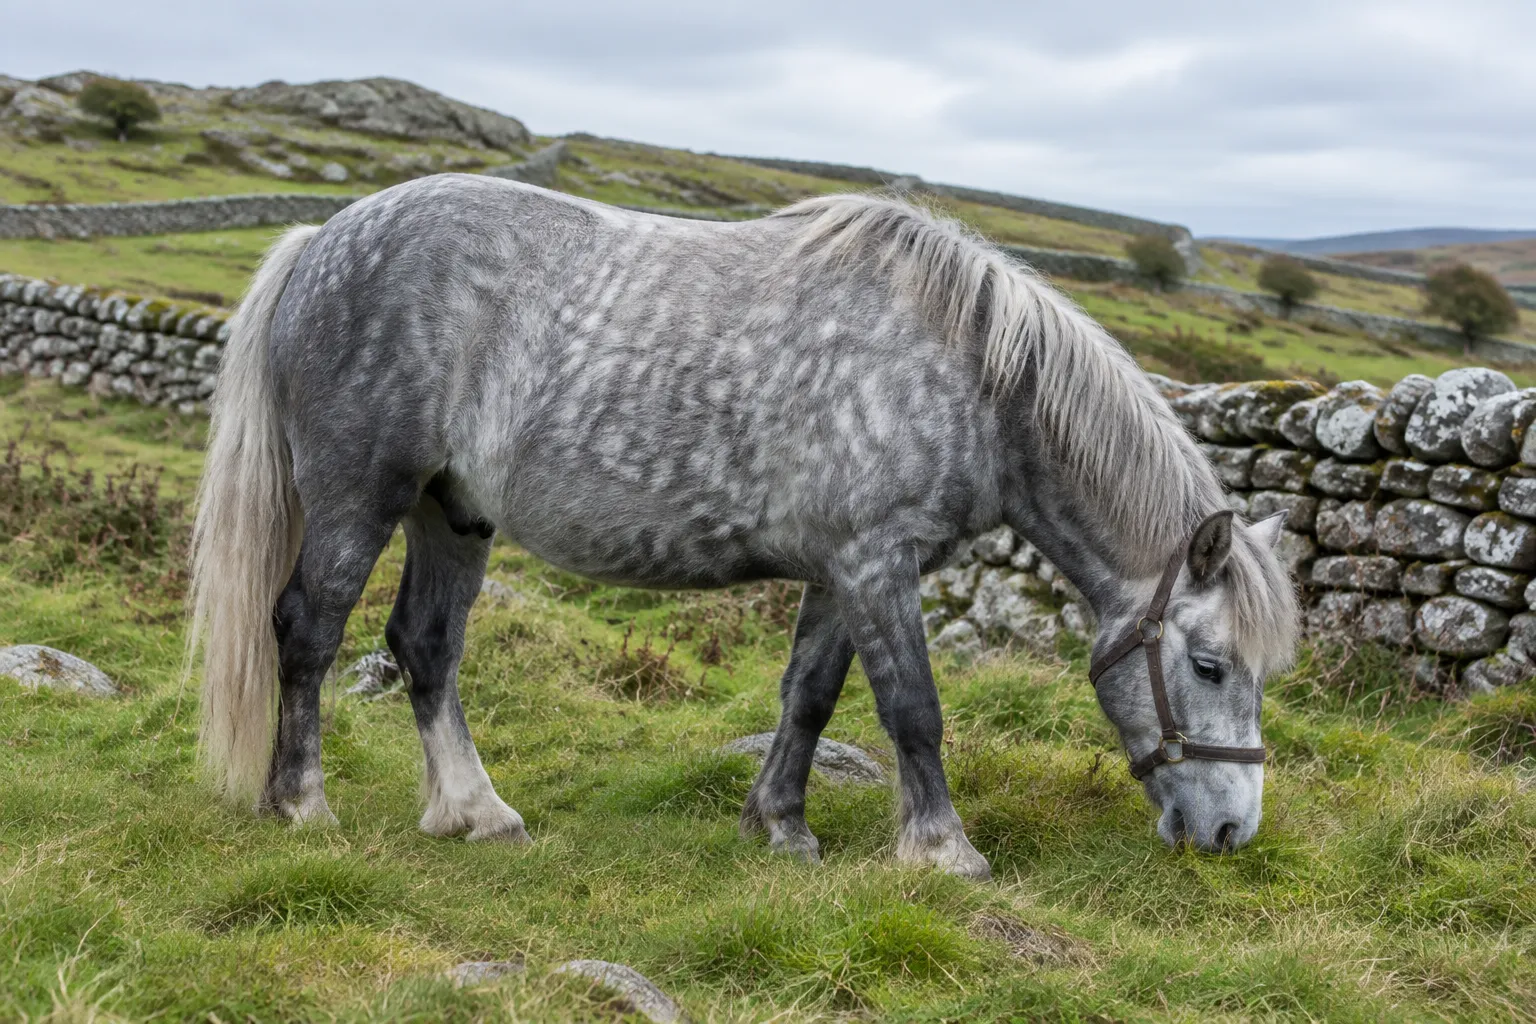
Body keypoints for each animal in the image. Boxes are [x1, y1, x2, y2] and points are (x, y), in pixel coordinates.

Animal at [187, 175, 1299, 880]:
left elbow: (808, 696)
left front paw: (781, 827)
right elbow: (912, 711)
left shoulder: (842, 573)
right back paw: (302, 803)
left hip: (452, 512)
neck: (976, 377)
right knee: (309, 630)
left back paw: (476, 813)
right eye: (1208, 664)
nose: (1232, 831)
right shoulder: (878, 563)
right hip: (358, 496)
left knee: (425, 647)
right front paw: (943, 851)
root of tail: (322, 241)